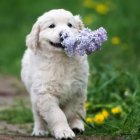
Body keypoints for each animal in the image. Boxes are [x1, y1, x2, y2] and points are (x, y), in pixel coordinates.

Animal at [20, 9, 88, 140]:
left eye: (70, 25)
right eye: (51, 26)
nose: (64, 34)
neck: (61, 60)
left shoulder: (76, 91)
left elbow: (69, 112)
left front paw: (67, 128)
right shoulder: (44, 94)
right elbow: (57, 114)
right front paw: (63, 131)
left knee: (80, 111)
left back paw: (77, 126)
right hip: (34, 96)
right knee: (37, 115)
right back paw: (40, 130)